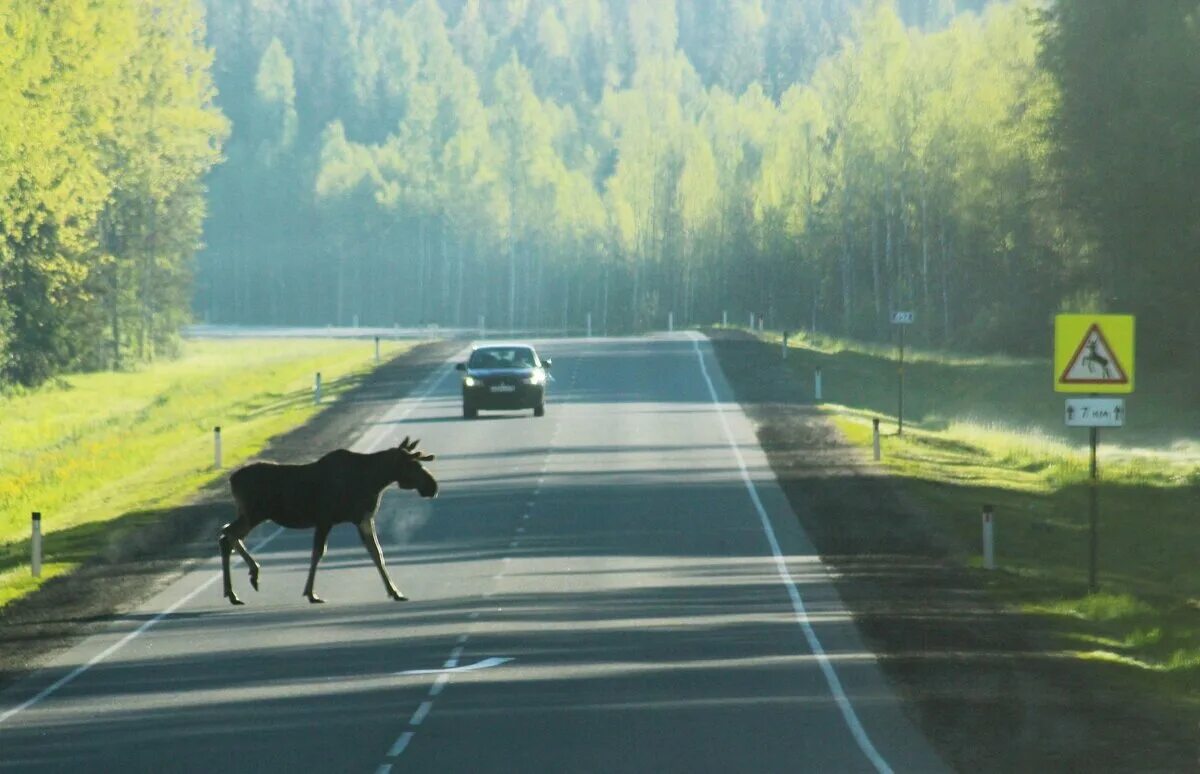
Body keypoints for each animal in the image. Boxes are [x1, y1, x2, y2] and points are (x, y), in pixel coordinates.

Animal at [218, 434, 439, 604]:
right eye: (412, 465)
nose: (432, 486)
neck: (375, 480)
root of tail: (231, 480)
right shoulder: (326, 520)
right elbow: (318, 553)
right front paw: (311, 593)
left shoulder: (363, 519)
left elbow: (377, 553)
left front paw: (395, 592)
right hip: (254, 514)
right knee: (228, 533)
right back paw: (249, 577)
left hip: (250, 514)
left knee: (226, 535)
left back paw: (235, 590)